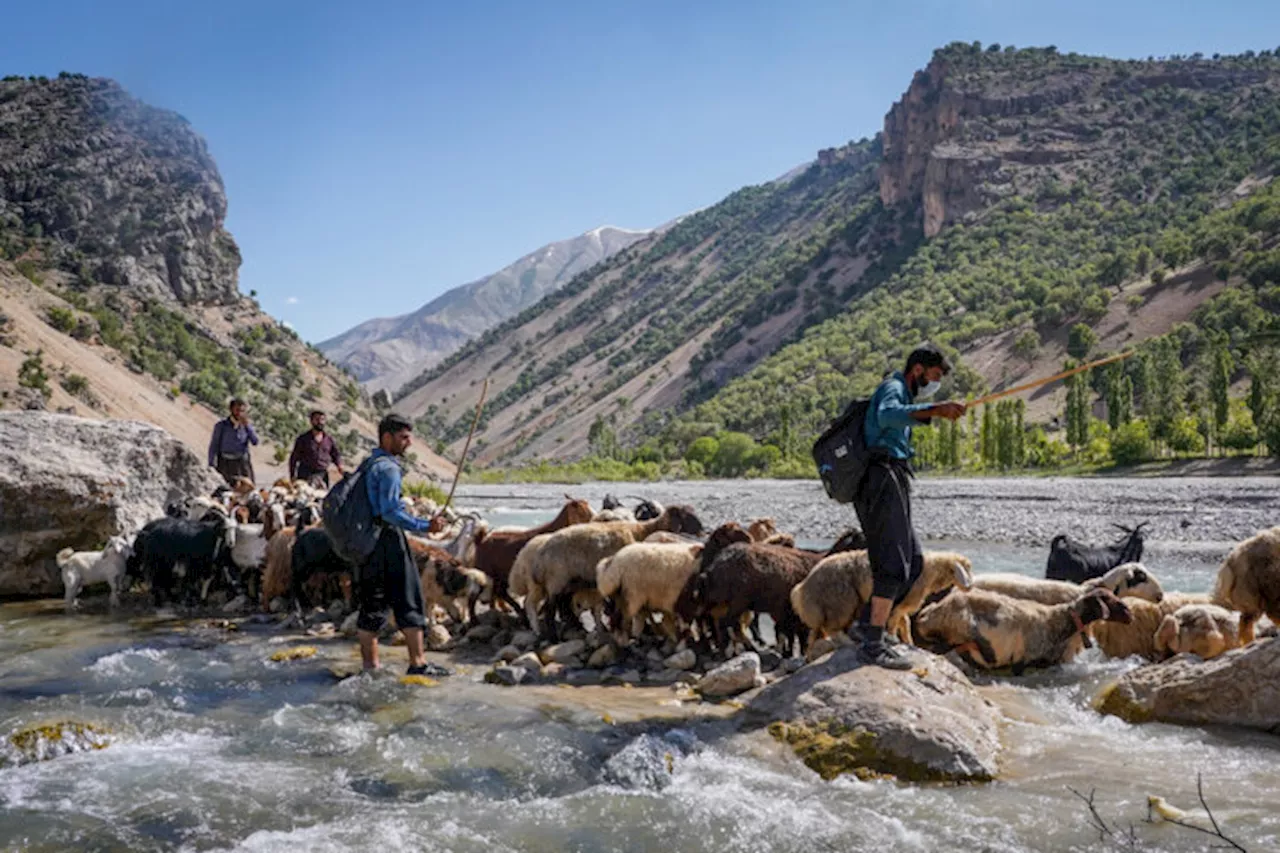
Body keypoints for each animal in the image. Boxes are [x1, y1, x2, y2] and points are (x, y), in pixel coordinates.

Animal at [783, 548, 972, 640]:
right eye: (965, 569)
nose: (969, 587)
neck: (929, 570)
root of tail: (802, 589)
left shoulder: (900, 604)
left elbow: (904, 623)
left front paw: (908, 642)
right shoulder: (901, 602)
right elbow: (895, 623)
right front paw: (893, 638)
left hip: (825, 608)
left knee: (815, 635)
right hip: (840, 602)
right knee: (831, 629)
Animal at [916, 584, 1136, 671]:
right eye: (1108, 599)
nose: (1129, 613)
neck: (1057, 620)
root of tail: (927, 614)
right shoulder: (1022, 662)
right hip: (954, 634)